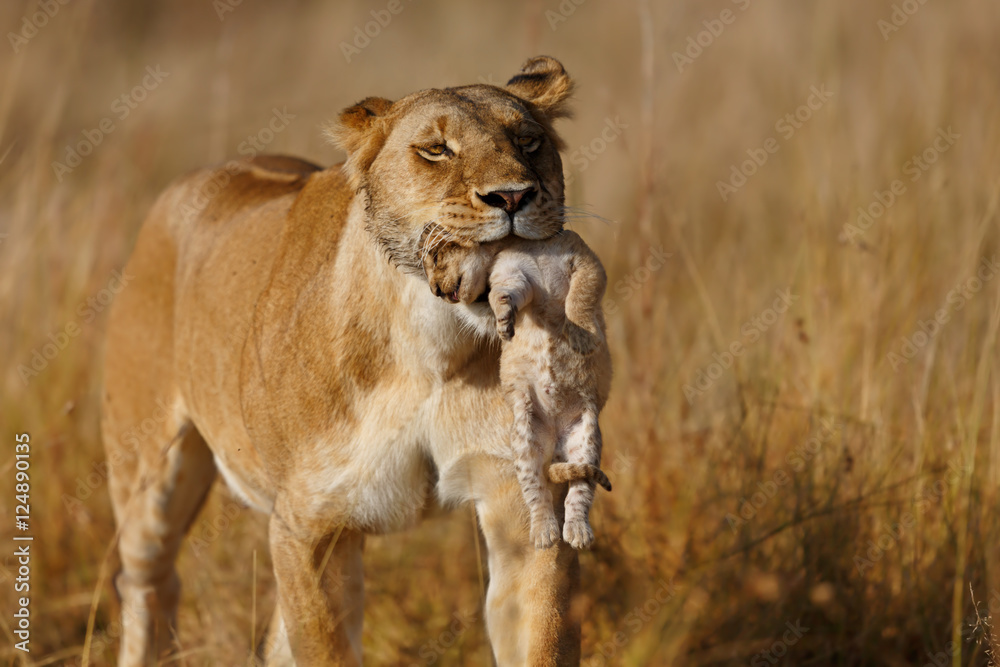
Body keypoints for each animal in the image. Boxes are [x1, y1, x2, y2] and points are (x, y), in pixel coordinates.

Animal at [101, 56, 590, 665]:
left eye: (528, 141)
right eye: (436, 150)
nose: (513, 197)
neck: (432, 345)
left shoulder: (523, 502)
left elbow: (542, 636)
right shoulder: (312, 525)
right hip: (149, 475)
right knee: (149, 584)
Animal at [422, 231, 613, 550]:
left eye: (436, 257)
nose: (435, 291)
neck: (532, 247)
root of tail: (556, 447)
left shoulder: (586, 262)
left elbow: (581, 297)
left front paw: (581, 337)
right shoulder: (515, 275)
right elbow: (508, 292)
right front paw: (502, 316)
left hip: (586, 439)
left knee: (579, 491)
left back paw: (577, 532)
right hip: (525, 439)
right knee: (537, 492)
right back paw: (544, 533)